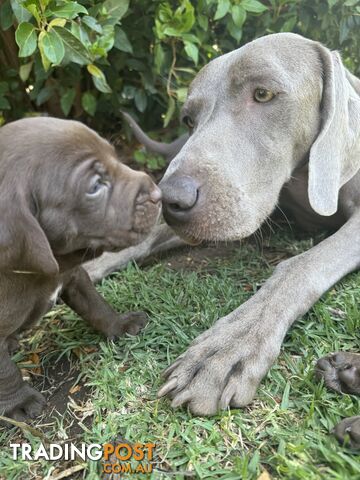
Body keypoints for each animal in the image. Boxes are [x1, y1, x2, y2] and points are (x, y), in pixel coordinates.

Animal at [0, 116, 160, 420]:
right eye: (95, 186)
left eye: (115, 156)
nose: (158, 193)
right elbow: (6, 373)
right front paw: (19, 402)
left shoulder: (74, 277)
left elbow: (96, 306)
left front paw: (120, 325)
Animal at [86, 32, 360, 446]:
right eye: (189, 119)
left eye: (263, 94)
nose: (170, 199)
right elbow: (144, 239)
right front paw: (87, 267)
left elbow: (299, 265)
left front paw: (226, 349)